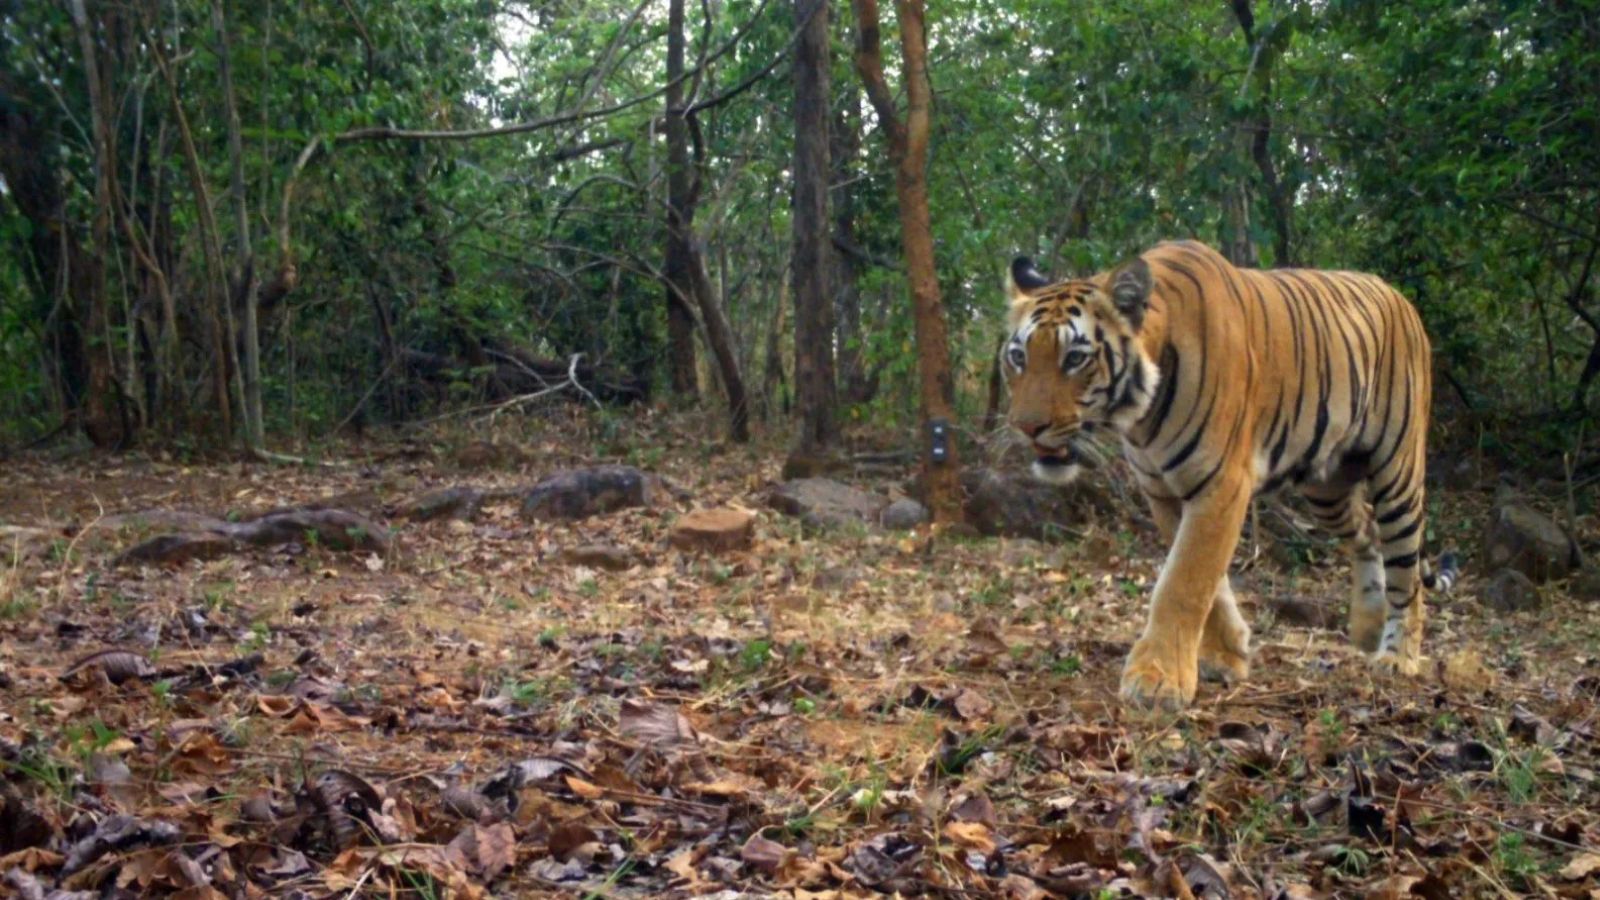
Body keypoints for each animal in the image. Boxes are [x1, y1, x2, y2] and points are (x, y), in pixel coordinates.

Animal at [1001, 240, 1456, 709]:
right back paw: (1369, 626)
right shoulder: (1164, 491)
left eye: (1075, 358)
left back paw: (1397, 656)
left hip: (1398, 473)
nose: (1026, 426)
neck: (1141, 417)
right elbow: (1207, 581)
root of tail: (1398, 295)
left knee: (1407, 570)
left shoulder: (1221, 484)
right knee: (1367, 533)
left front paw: (1157, 680)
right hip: (1326, 487)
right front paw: (1225, 655)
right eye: (1018, 357)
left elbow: (1184, 580)